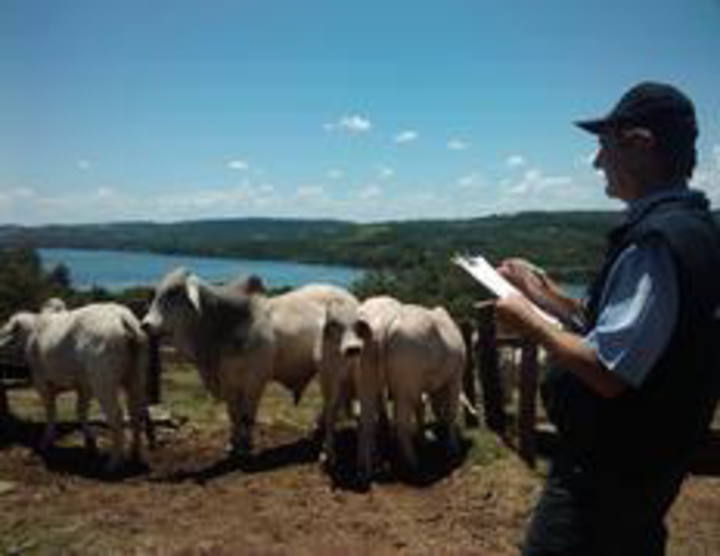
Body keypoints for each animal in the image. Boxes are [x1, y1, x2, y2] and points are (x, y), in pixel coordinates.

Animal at [0, 304, 153, 470]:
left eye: (7, 331)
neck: (33, 332)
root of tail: (122, 316)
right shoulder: (83, 385)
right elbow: (80, 411)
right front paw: (90, 443)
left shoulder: (42, 382)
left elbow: (51, 411)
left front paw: (46, 441)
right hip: (136, 375)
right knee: (135, 413)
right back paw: (134, 454)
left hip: (103, 379)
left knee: (116, 415)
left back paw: (114, 462)